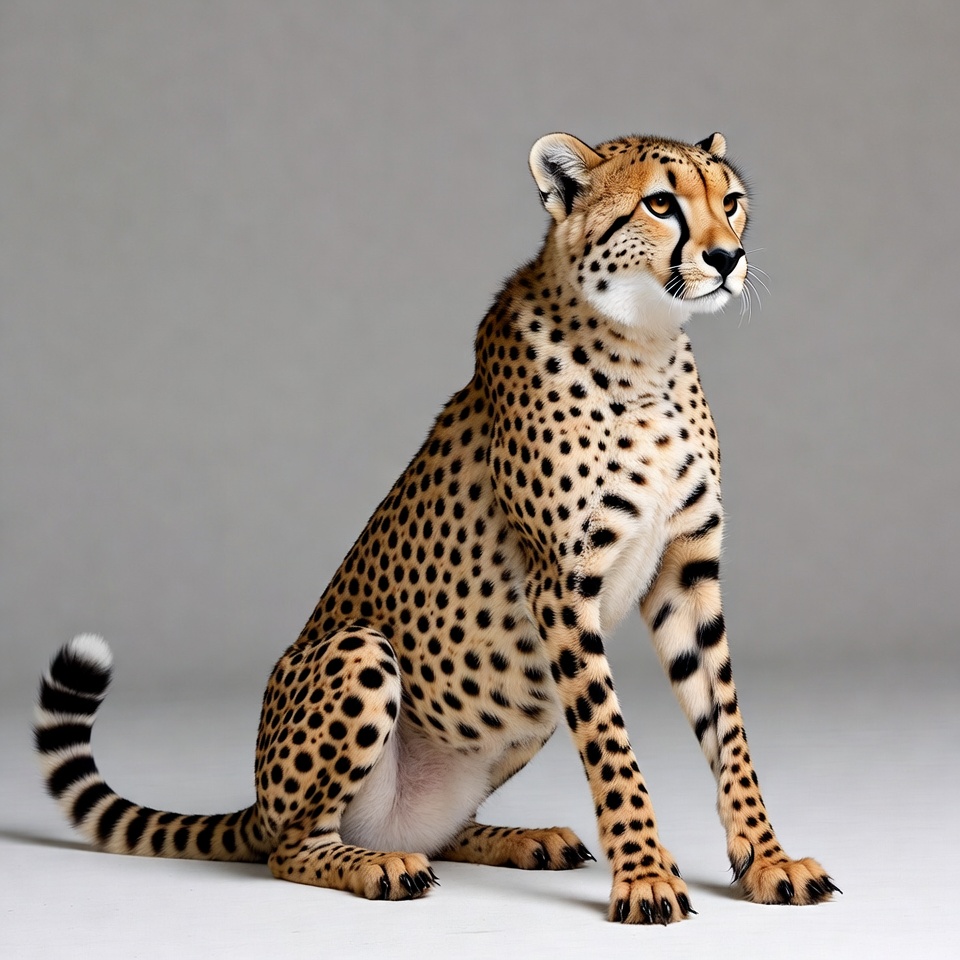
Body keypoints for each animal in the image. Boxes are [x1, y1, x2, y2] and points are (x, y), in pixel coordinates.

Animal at [35, 130, 839, 924]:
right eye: (662, 204)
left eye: (730, 203)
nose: (728, 257)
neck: (646, 350)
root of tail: (259, 803)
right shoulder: (561, 586)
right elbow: (611, 742)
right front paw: (644, 874)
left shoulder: (686, 572)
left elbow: (727, 725)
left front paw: (766, 859)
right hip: (361, 652)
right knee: (290, 850)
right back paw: (377, 866)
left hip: (524, 708)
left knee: (436, 831)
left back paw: (521, 839)